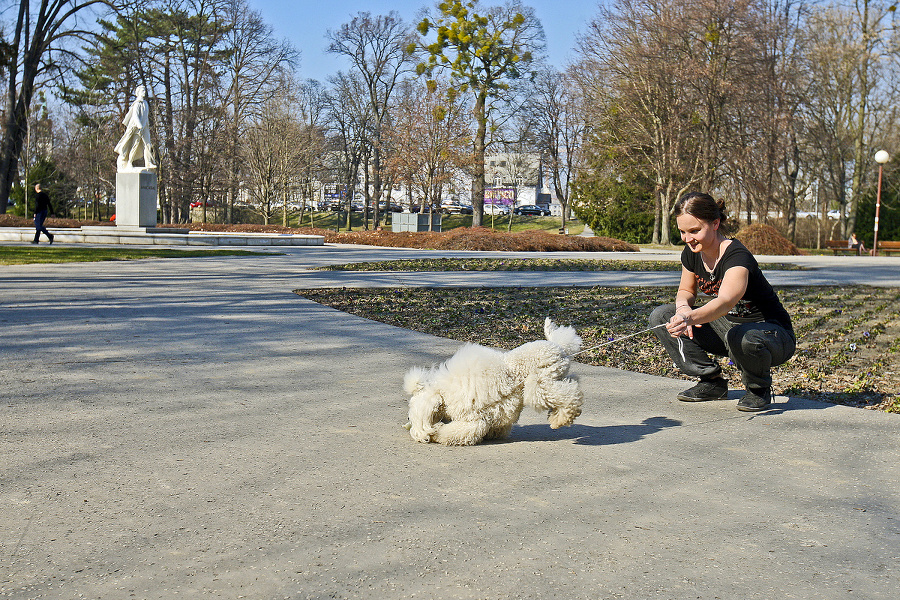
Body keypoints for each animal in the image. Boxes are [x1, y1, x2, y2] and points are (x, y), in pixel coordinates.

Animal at [402, 318, 584, 446]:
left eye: (412, 412)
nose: (408, 420)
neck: (442, 394)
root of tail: (558, 346)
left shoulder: (473, 420)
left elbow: (459, 431)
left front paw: (437, 434)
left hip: (540, 384)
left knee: (569, 396)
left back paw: (560, 420)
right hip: (553, 379)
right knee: (572, 386)